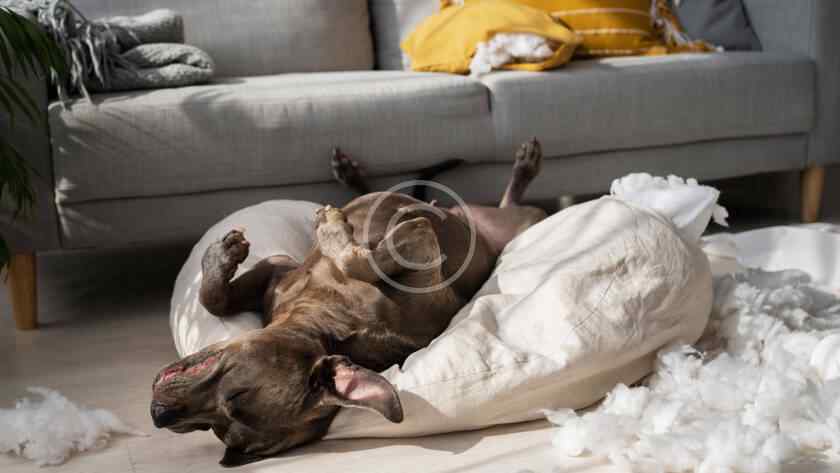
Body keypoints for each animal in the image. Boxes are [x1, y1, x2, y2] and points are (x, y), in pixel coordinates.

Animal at [151, 138, 547, 467]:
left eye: (232, 397)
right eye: (210, 427)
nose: (159, 415)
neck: (328, 319)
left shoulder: (420, 238)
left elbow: (357, 259)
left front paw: (331, 228)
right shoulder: (275, 271)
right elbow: (213, 300)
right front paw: (221, 257)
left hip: (522, 223)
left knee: (508, 202)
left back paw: (525, 165)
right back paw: (350, 172)